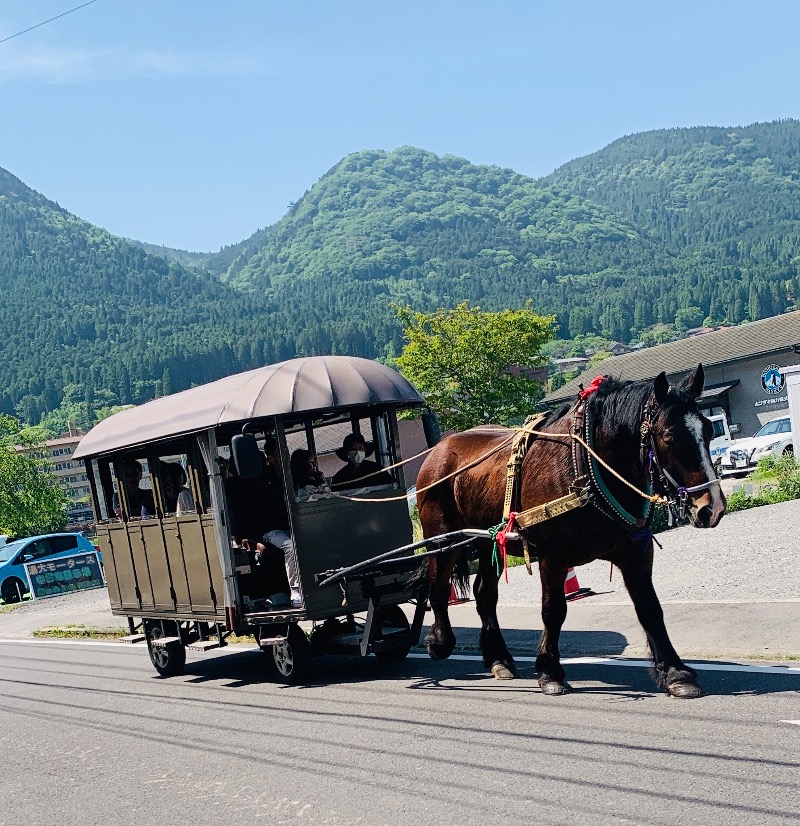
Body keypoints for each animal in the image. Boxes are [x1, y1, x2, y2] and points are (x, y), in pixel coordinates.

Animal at [418, 366, 724, 696]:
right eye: (668, 437)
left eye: (708, 430)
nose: (712, 507)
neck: (588, 464)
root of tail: (438, 449)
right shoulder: (552, 554)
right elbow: (553, 610)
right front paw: (550, 670)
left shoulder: (635, 552)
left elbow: (650, 608)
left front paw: (675, 672)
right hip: (442, 537)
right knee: (438, 587)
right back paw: (440, 641)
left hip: (489, 542)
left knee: (484, 594)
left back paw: (499, 658)